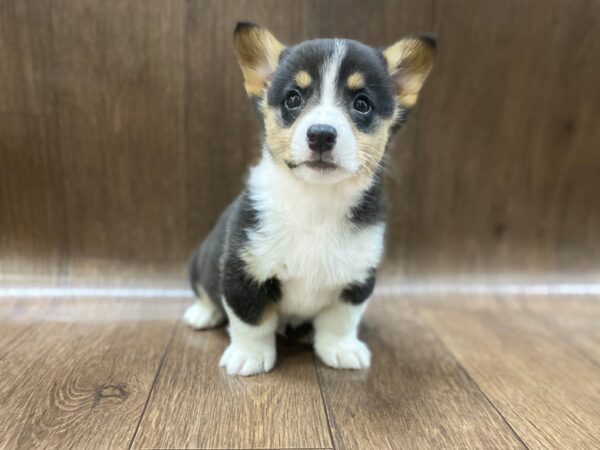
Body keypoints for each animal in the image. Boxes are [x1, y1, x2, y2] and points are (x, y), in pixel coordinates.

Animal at [185, 23, 434, 376]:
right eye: (293, 98)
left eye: (362, 103)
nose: (321, 135)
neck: (317, 202)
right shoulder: (244, 269)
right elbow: (251, 320)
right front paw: (249, 355)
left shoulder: (356, 278)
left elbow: (341, 320)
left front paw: (341, 349)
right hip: (201, 261)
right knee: (206, 292)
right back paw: (203, 313)